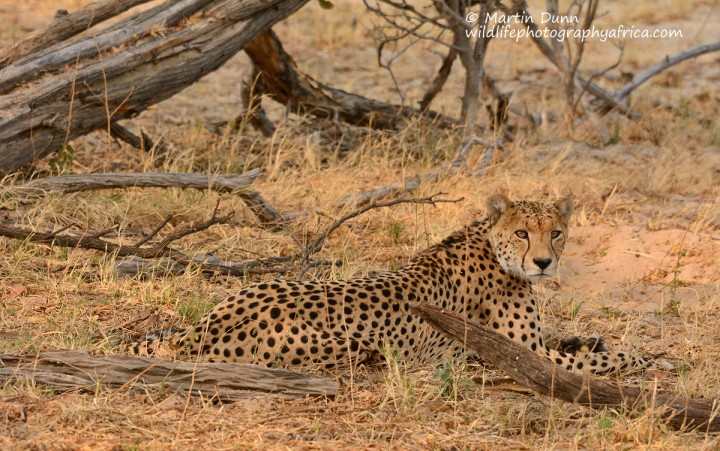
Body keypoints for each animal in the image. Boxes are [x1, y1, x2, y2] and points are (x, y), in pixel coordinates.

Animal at [122, 194, 664, 374]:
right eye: (522, 233)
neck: (491, 245)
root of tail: (202, 332)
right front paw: (646, 359)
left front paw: (596, 340)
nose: (545, 263)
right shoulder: (521, 354)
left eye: (556, 231)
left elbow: (579, 342)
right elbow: (597, 362)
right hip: (352, 345)